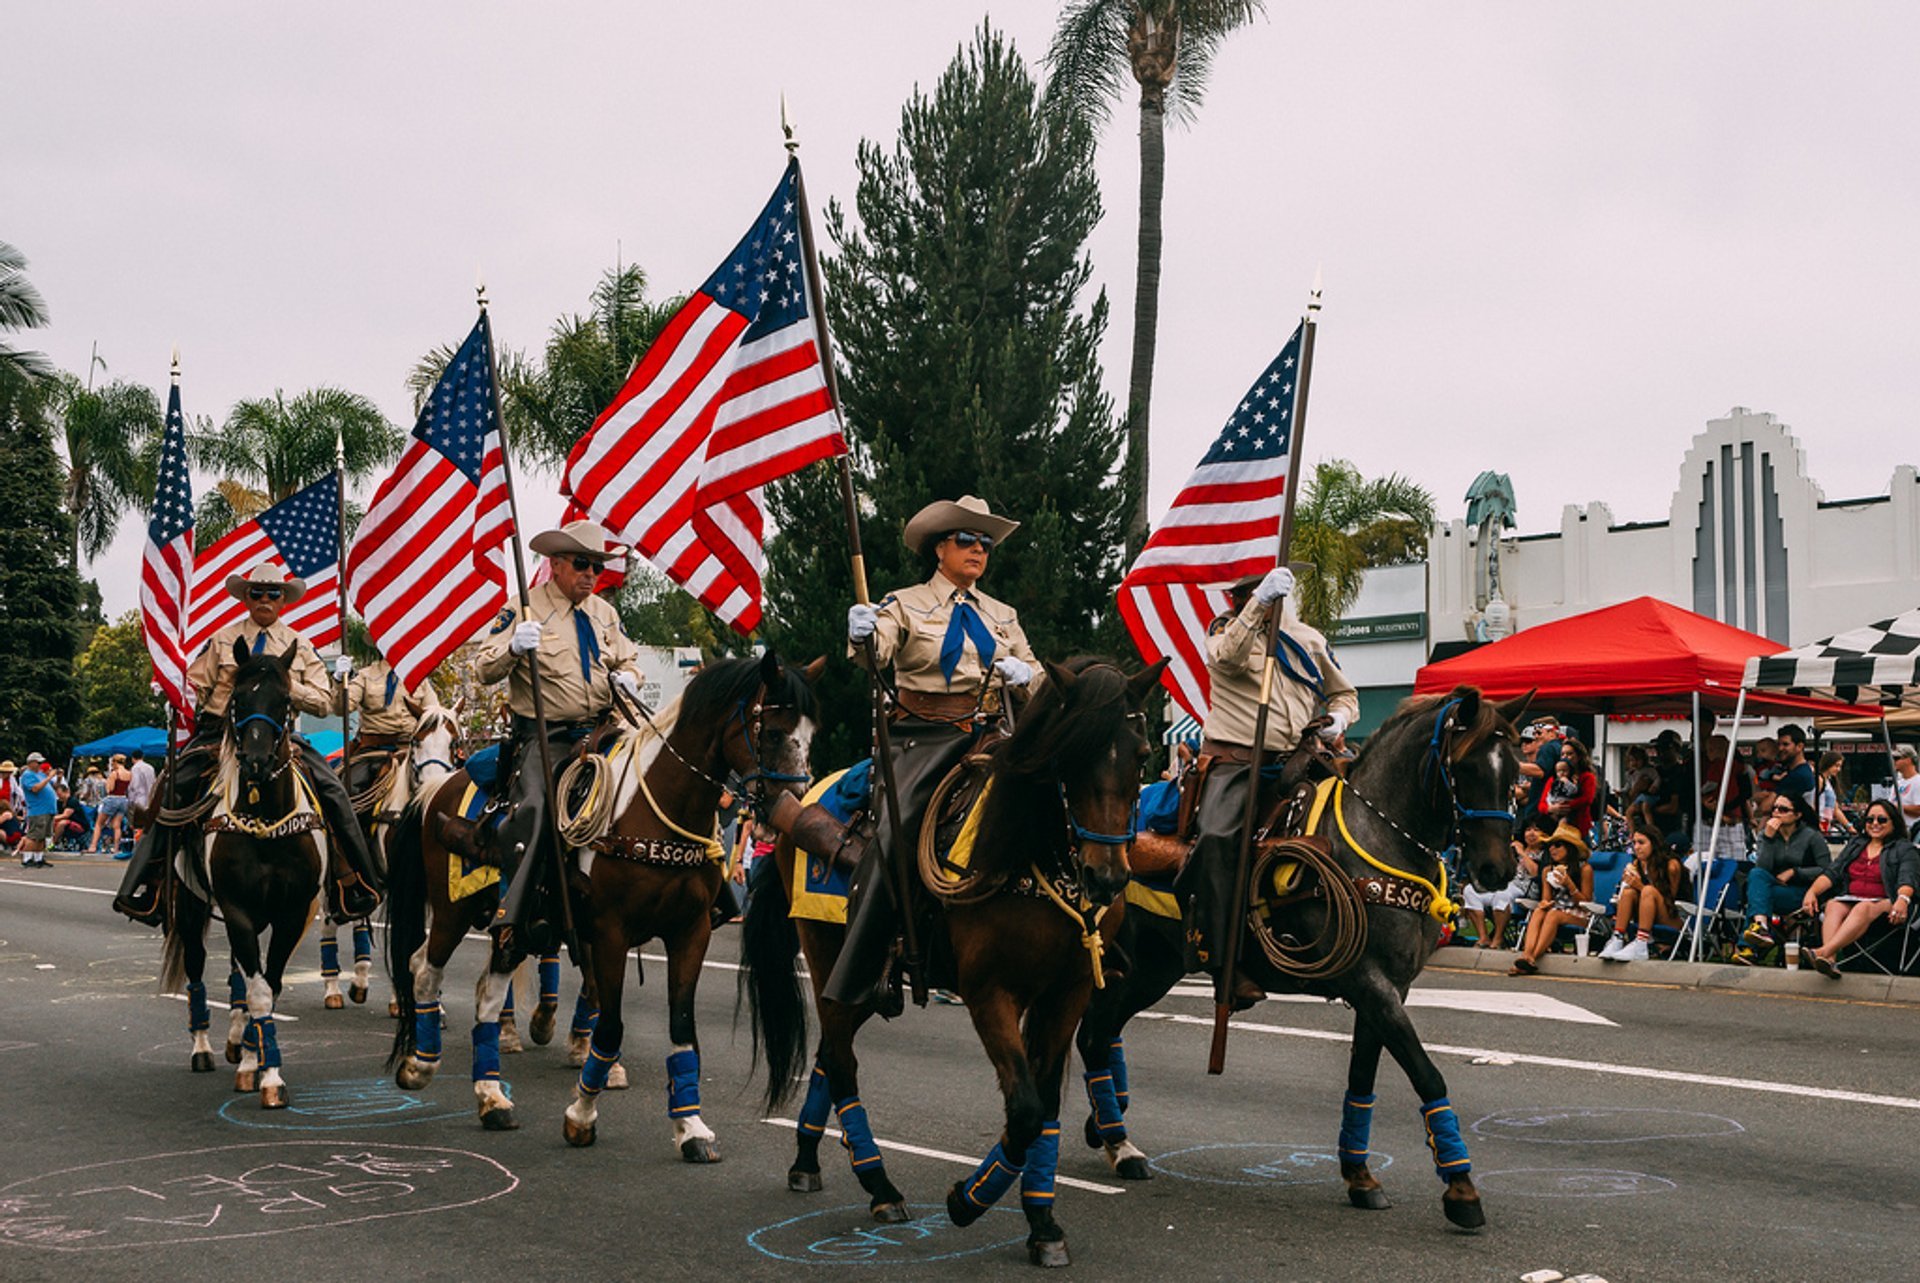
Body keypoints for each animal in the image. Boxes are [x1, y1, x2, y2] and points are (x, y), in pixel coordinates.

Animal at [163, 645, 336, 1106]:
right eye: (238, 698)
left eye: (286, 699)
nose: (255, 762)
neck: (265, 819)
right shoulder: (237, 909)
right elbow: (257, 990)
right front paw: (260, 1070)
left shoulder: (292, 912)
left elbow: (268, 986)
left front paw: (258, 1060)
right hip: (192, 908)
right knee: (198, 969)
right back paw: (204, 1048)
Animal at [320, 702, 462, 1014]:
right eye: (416, 741)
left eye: (454, 743)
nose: (433, 785)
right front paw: (405, 999)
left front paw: (431, 1000)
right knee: (330, 921)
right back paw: (332, 988)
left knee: (361, 918)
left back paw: (360, 980)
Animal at [560, 653, 821, 1152]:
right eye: (774, 733)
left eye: (812, 734)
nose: (794, 809)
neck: (659, 814)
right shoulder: (611, 932)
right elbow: (612, 1024)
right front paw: (581, 1113)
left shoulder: (690, 932)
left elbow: (682, 1028)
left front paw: (690, 1127)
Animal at [737, 660, 1159, 1275]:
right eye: (1069, 757)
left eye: (1142, 756)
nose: (1106, 877)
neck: (1030, 855)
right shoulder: (990, 994)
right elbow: (1025, 1109)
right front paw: (968, 1200)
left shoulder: (1068, 994)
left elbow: (1045, 1107)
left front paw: (1041, 1221)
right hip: (832, 958)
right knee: (840, 1061)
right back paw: (880, 1187)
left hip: (871, 986)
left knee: (826, 1056)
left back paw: (807, 1160)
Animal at [1075, 687, 1536, 1229]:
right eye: (1465, 766)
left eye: (1515, 770)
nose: (1495, 869)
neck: (1378, 838)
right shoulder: (1368, 982)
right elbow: (1426, 1073)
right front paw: (1461, 1188)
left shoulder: (1388, 989)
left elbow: (1363, 1075)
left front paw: (1360, 1176)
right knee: (1092, 1035)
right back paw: (1118, 1142)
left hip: (1152, 968)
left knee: (1101, 1033)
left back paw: (1109, 1129)